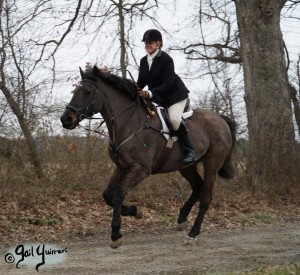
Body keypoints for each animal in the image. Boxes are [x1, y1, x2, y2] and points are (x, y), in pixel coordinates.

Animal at [60, 65, 237, 250]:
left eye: (87, 92)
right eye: (75, 91)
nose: (66, 119)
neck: (129, 122)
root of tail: (221, 119)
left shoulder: (141, 169)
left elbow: (119, 194)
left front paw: (116, 234)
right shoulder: (121, 167)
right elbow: (108, 195)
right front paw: (136, 212)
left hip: (212, 163)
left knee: (206, 197)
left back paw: (192, 234)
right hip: (186, 166)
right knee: (198, 187)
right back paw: (182, 219)